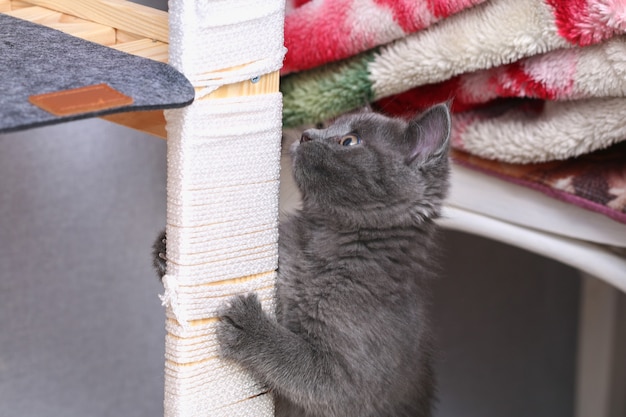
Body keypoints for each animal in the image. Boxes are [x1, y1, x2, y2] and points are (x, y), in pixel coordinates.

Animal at [214, 102, 448, 414]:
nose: (306, 135)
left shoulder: (347, 381)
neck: (321, 242)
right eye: (325, 126)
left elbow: (298, 362)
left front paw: (251, 327)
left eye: (349, 141)